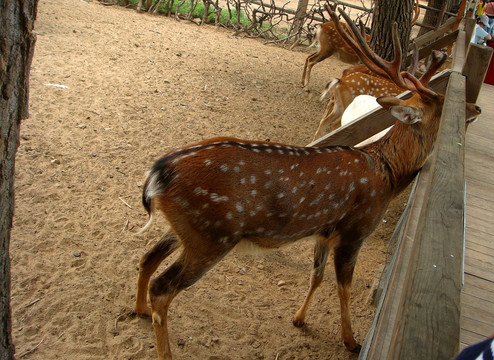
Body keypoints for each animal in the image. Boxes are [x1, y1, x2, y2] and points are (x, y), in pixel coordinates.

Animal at [133, 6, 480, 360]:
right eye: (442, 101)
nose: (476, 106)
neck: (388, 174)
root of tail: (157, 173)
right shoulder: (355, 231)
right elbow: (344, 288)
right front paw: (350, 341)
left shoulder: (323, 232)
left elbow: (316, 275)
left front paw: (299, 319)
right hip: (212, 236)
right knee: (162, 287)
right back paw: (161, 341)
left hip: (188, 228)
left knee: (147, 256)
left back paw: (139, 310)